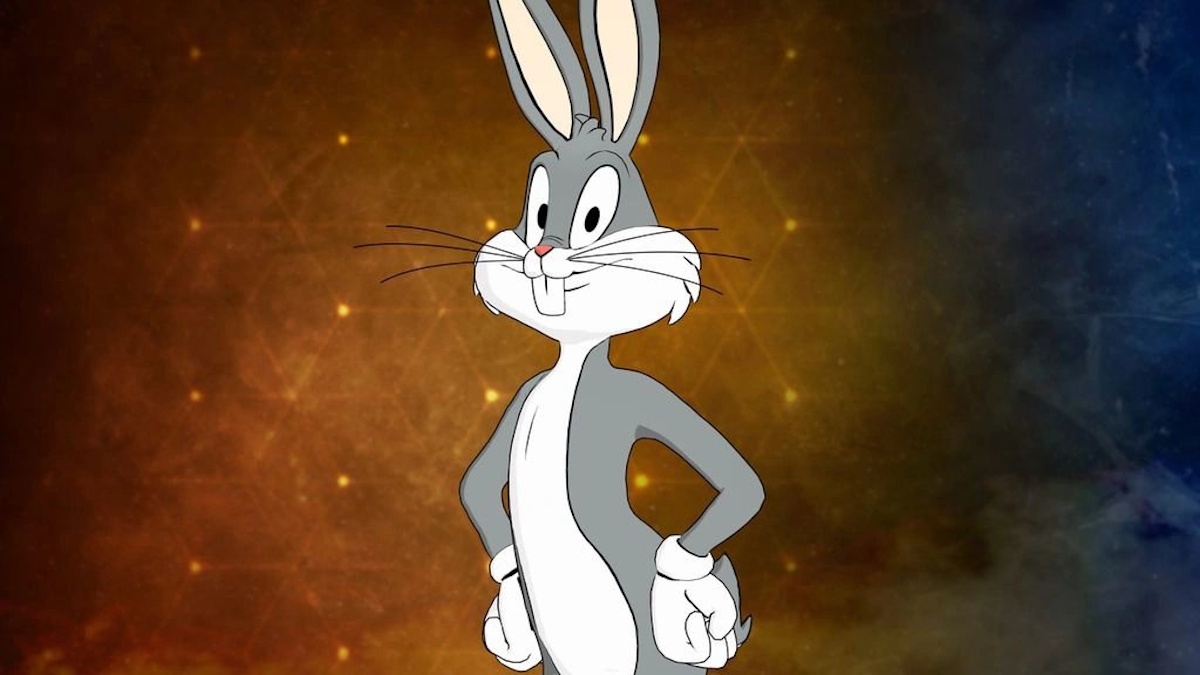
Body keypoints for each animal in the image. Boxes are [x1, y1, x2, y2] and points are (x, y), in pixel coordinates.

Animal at [458, 0, 765, 673]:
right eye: (539, 212)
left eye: (595, 217)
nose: (544, 251)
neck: (572, 366)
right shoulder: (523, 393)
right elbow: (476, 482)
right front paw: (509, 612)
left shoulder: (639, 395)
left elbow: (742, 482)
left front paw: (682, 592)